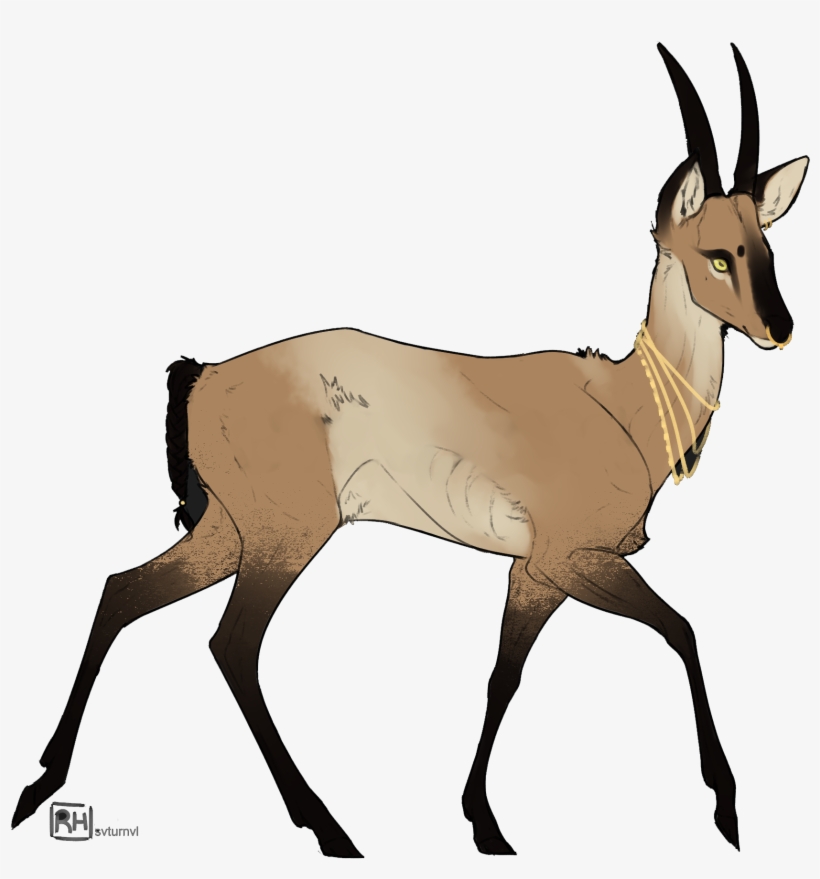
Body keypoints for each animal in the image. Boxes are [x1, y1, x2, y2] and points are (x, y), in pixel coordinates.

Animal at [12, 43, 809, 857]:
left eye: (766, 245)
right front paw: (727, 812)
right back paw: (330, 828)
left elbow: (502, 675)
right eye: (717, 255)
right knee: (232, 646)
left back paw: (41, 784)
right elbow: (682, 630)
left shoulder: (533, 573)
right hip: (284, 539)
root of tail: (204, 375)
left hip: (229, 534)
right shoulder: (573, 559)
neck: (623, 403)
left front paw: (484, 823)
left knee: (123, 590)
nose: (780, 328)